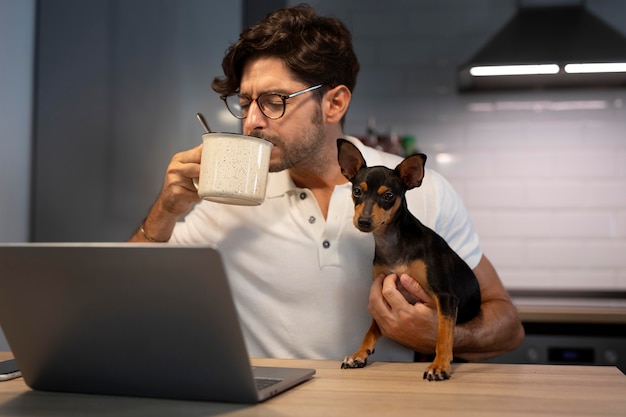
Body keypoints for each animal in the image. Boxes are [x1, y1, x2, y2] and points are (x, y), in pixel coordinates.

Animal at [336, 140, 478, 380]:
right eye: (356, 191)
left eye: (388, 196)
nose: (363, 221)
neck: (392, 241)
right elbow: (371, 329)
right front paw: (359, 354)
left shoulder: (446, 297)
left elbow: (443, 334)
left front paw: (440, 365)